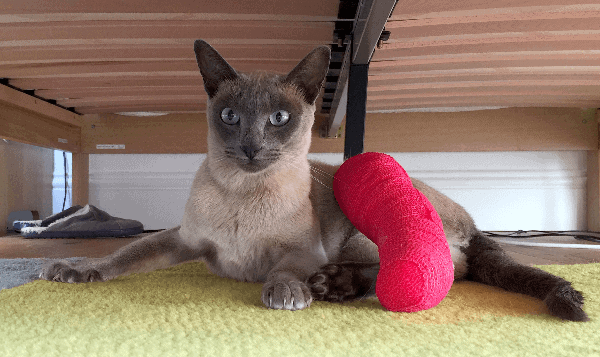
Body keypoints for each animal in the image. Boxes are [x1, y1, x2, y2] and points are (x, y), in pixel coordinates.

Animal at [39, 40, 588, 322]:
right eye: (231, 117)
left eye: (279, 118)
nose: (251, 147)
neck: (243, 195)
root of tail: (473, 222)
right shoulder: (182, 241)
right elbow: (123, 255)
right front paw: (76, 269)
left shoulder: (301, 251)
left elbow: (284, 268)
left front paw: (287, 293)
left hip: (360, 233)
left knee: (441, 273)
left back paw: (331, 285)